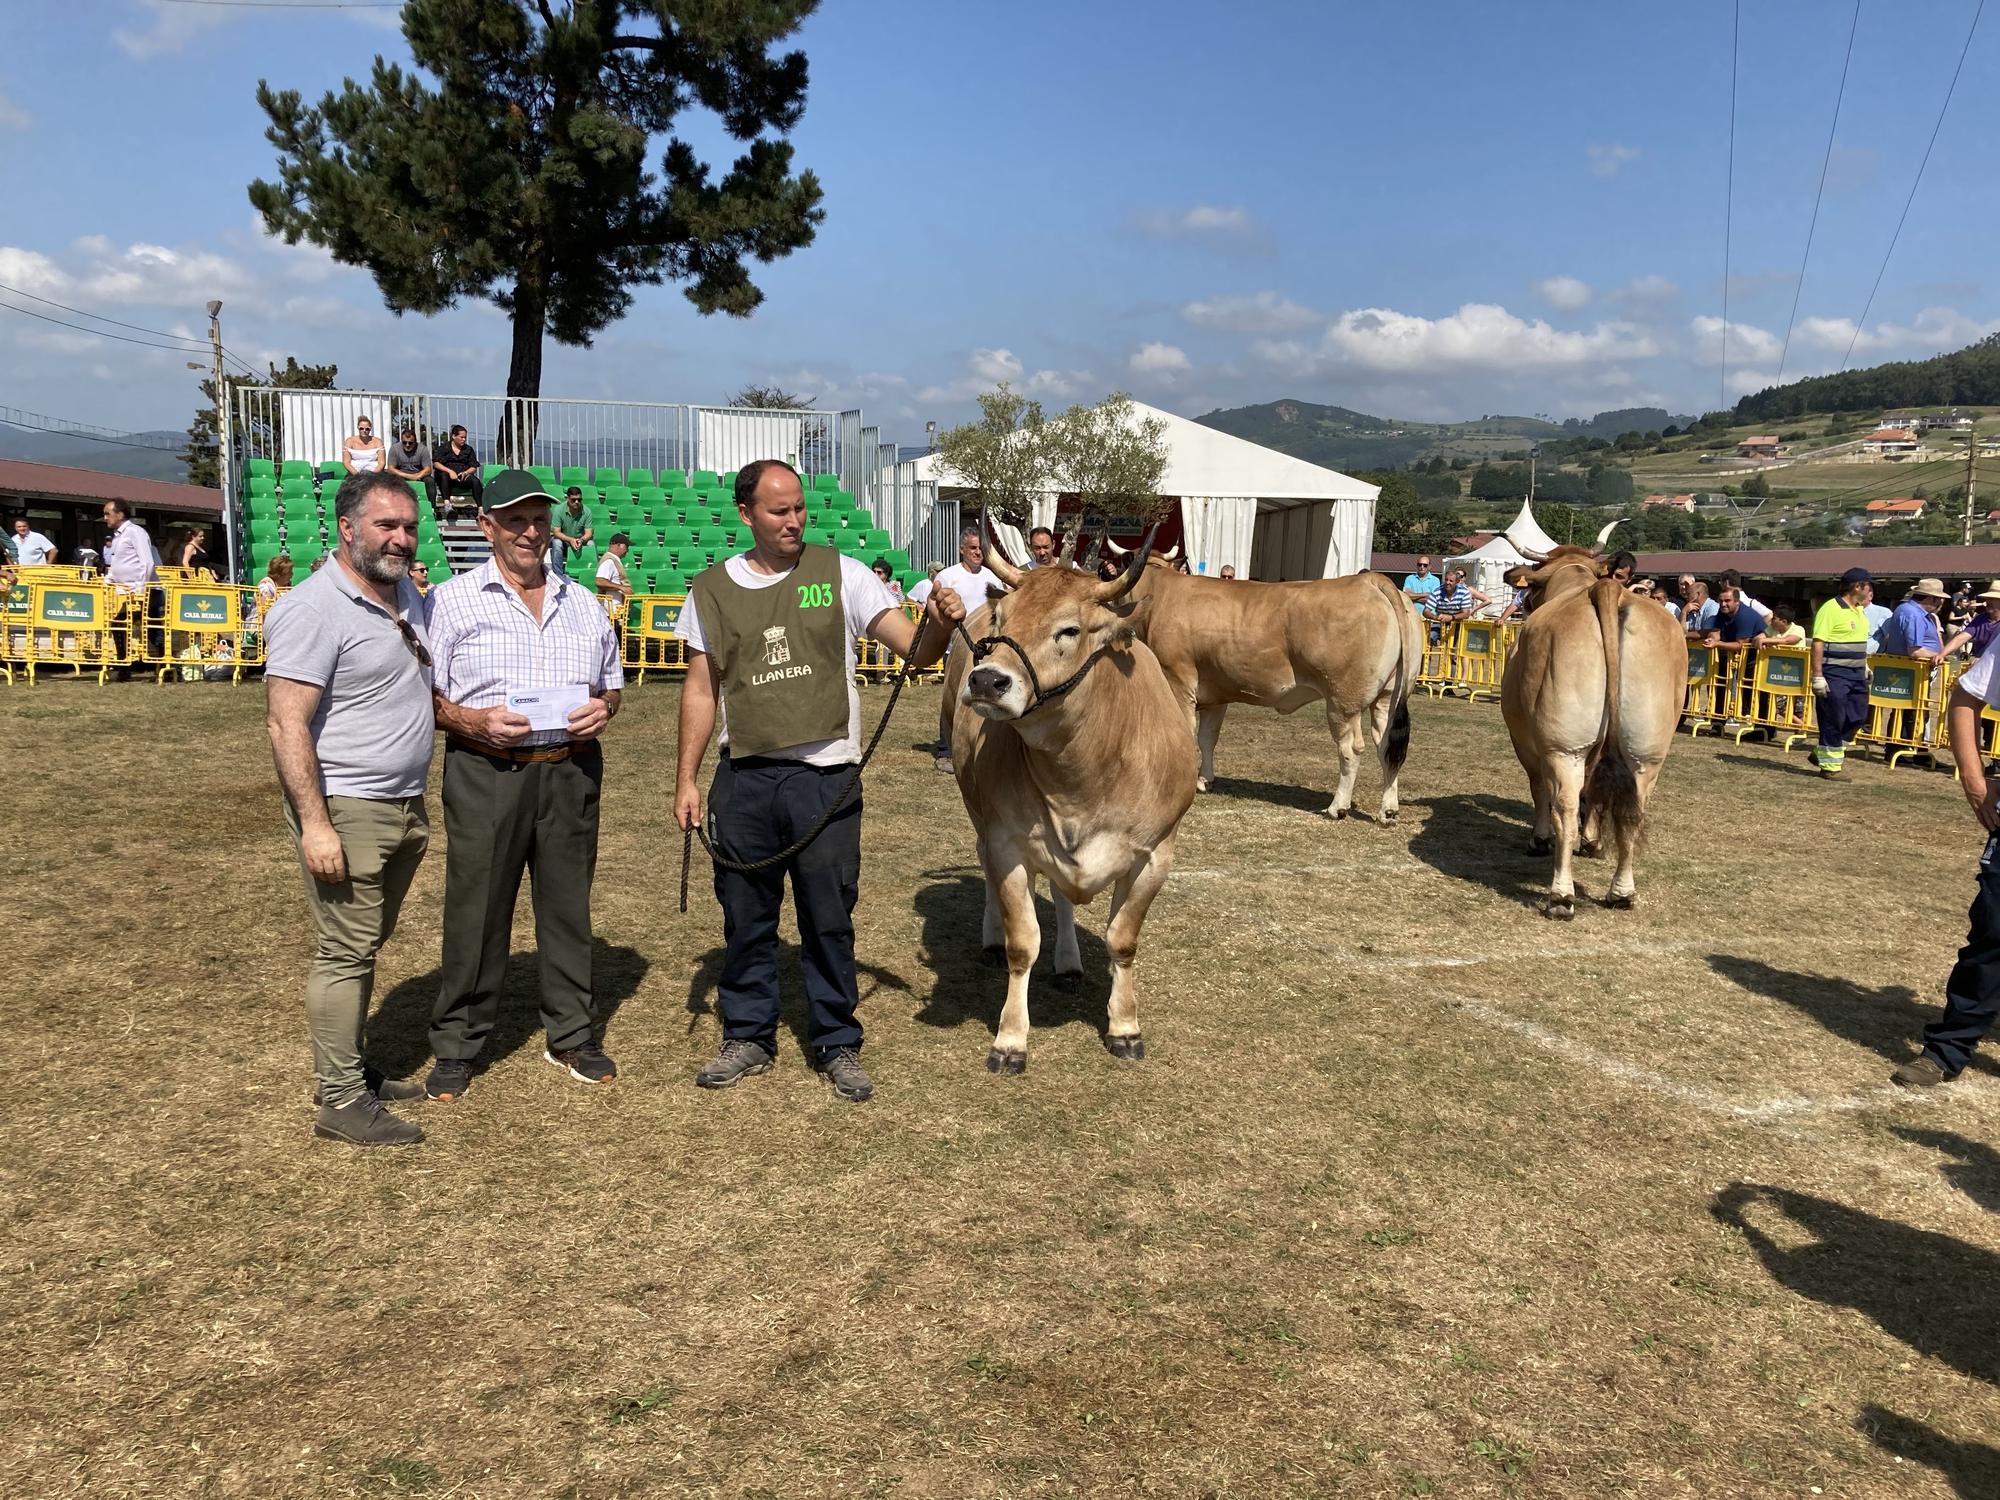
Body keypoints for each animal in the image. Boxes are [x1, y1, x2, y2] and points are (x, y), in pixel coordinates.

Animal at [944, 524, 1192, 1072]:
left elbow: (1123, 939)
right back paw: (993, 939)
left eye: (1069, 630)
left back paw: (1069, 965)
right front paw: (1010, 1038)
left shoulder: (1156, 854)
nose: (986, 679)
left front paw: (1124, 1026)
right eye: (1003, 620)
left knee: (1061, 895)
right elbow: (1022, 943)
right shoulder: (1008, 843)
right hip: (979, 815)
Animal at [1096, 540, 1424, 824]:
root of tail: (1371, 581)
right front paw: (1205, 780)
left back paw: (1337, 807)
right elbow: (1208, 737)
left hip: (1343, 701)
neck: (1159, 591)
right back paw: (1388, 811)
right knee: (1388, 746)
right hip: (1388, 697)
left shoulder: (1177, 679)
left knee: (1351, 748)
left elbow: (1187, 733)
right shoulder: (1216, 693)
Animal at [1504, 540, 1688, 916]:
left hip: (1565, 748)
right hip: (1647, 754)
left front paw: (1539, 840)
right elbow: (1596, 797)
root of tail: (1605, 590)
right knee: (1632, 813)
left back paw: (1561, 896)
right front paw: (1593, 842)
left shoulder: (1526, 743)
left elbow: (1539, 789)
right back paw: (1622, 892)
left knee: (1565, 807)